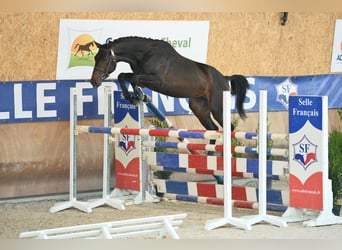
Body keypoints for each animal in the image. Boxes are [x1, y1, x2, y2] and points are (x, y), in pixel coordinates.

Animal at [90, 36, 248, 135]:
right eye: (95, 58)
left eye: (104, 59)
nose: (94, 81)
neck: (145, 54)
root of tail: (224, 78)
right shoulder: (142, 77)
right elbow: (123, 76)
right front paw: (131, 96)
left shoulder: (157, 80)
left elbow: (133, 79)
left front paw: (137, 97)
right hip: (199, 109)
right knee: (213, 128)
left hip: (217, 108)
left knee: (228, 127)